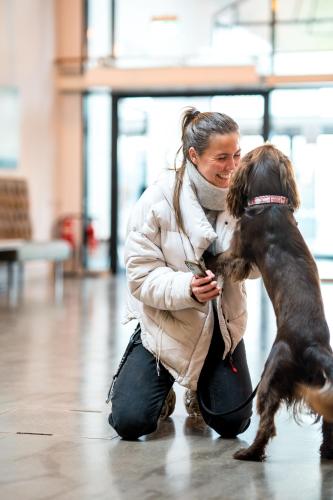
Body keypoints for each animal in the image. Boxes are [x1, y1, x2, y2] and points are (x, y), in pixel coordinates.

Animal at [209, 144, 332, 460]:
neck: (270, 204)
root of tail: (313, 348)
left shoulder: (238, 251)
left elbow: (221, 258)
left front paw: (205, 258)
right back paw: (327, 451)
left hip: (271, 373)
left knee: (266, 422)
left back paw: (249, 452)